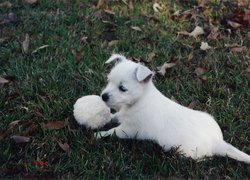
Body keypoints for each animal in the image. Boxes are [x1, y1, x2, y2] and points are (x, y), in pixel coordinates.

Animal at [95, 53, 250, 163]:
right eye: (109, 80)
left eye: (122, 88)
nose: (103, 96)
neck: (140, 99)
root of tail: (216, 141)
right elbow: (115, 117)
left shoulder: (130, 130)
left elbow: (113, 131)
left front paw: (99, 134)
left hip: (187, 152)